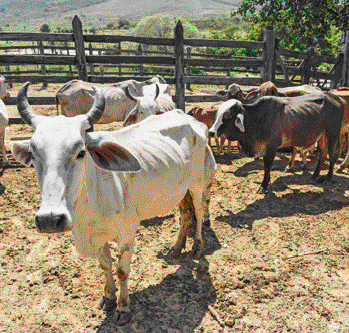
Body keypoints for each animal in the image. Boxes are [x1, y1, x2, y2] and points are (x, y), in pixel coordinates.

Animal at [12, 81, 216, 326]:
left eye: (81, 152)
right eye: (33, 154)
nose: (50, 219)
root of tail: (189, 118)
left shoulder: (127, 233)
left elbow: (122, 271)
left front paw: (123, 307)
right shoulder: (98, 235)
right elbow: (105, 265)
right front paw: (108, 297)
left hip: (196, 182)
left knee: (199, 210)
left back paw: (197, 246)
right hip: (180, 189)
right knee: (186, 215)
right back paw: (176, 249)